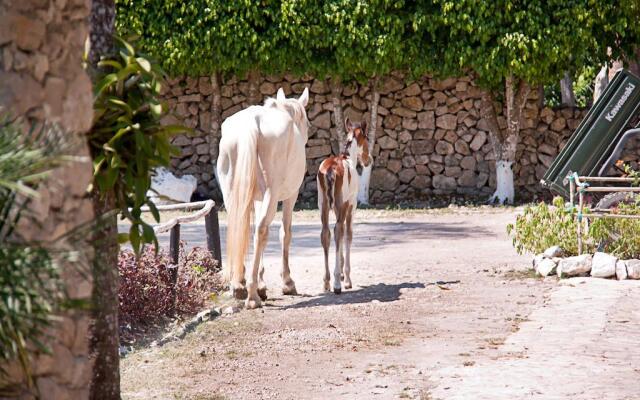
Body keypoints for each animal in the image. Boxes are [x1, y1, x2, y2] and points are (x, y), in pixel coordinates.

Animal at [215, 87, 310, 310]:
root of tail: (251, 123)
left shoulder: (257, 199)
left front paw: (261, 283)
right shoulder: (290, 196)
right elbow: (285, 233)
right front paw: (287, 283)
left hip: (232, 194)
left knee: (240, 227)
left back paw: (239, 285)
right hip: (273, 195)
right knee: (261, 231)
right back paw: (251, 296)